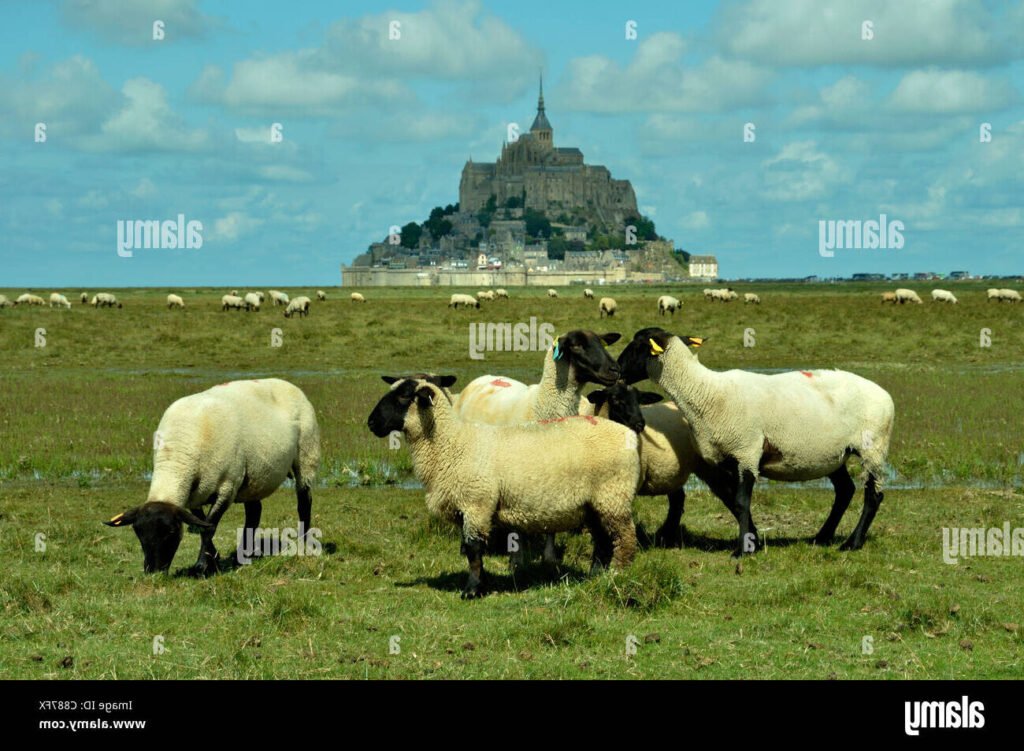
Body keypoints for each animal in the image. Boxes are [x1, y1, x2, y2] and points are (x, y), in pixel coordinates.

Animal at [102, 377, 319, 577]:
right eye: (137, 532)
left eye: (171, 531)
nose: (153, 572)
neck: (178, 454)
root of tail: (285, 382)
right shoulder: (194, 495)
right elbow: (201, 524)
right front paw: (213, 560)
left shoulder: (227, 487)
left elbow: (209, 526)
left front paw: (202, 565)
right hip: (252, 476)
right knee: (254, 513)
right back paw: (243, 555)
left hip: (306, 455)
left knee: (304, 503)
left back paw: (304, 544)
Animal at [368, 374, 638, 598]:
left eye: (404, 396)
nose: (371, 423)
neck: (452, 444)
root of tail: (629, 435)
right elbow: (472, 551)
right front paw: (481, 584)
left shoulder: (476, 504)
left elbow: (474, 550)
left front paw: (472, 590)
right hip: (595, 503)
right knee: (602, 540)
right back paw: (595, 576)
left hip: (614, 496)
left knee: (625, 538)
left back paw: (617, 575)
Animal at [614, 327, 897, 557]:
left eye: (637, 346)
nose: (616, 369)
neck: (706, 392)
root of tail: (884, 393)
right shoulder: (724, 460)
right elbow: (732, 501)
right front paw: (754, 542)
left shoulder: (746, 451)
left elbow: (741, 502)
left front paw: (742, 550)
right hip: (834, 454)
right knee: (845, 490)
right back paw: (822, 537)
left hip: (873, 446)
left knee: (873, 495)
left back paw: (852, 543)